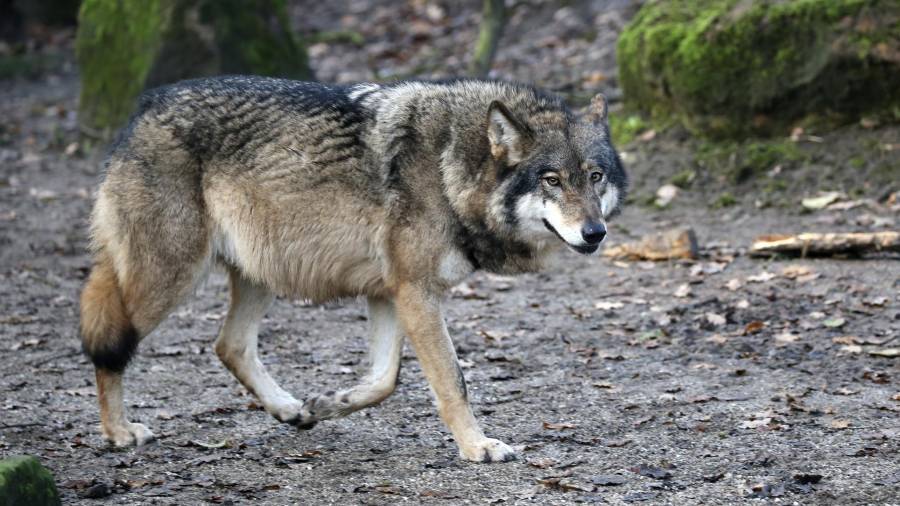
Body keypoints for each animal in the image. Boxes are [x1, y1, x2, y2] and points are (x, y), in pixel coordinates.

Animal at [79, 76, 627, 462]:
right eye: (552, 180)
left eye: (595, 177)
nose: (594, 233)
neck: (452, 169)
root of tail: (143, 109)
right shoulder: (415, 292)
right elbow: (453, 382)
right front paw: (478, 447)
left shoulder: (390, 292)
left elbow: (383, 381)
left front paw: (326, 404)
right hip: (168, 279)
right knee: (110, 346)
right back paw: (118, 432)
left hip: (258, 274)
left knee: (228, 345)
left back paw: (288, 408)